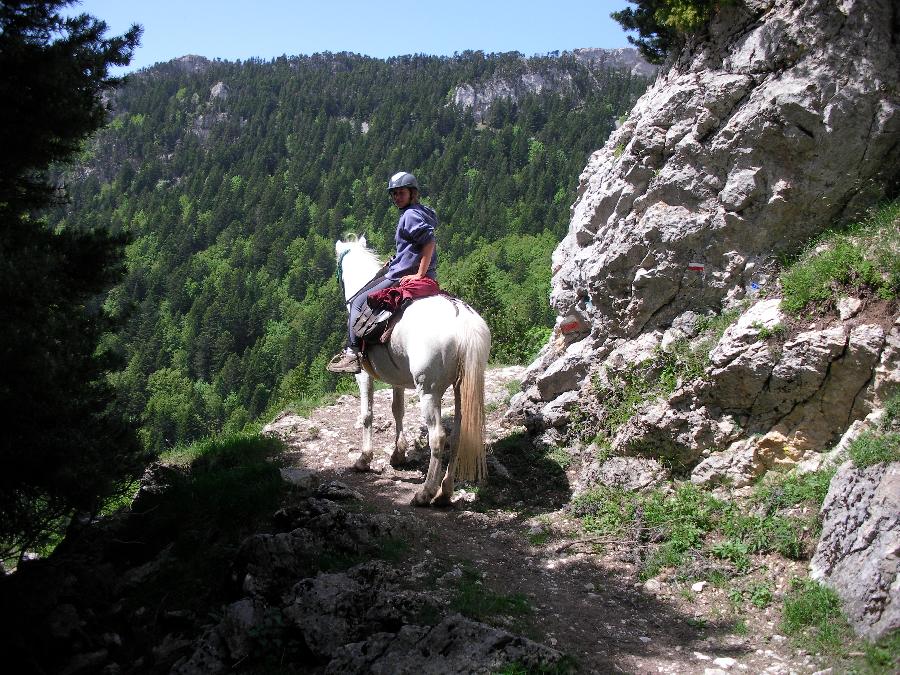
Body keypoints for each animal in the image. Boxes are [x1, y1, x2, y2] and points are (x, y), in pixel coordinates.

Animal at [336, 235, 492, 504]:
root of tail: (464, 324)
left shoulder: (364, 374)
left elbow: (367, 415)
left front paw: (364, 459)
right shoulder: (396, 377)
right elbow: (397, 409)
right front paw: (398, 453)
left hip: (428, 391)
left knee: (438, 437)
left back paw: (425, 492)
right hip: (462, 388)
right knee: (458, 434)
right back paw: (444, 492)